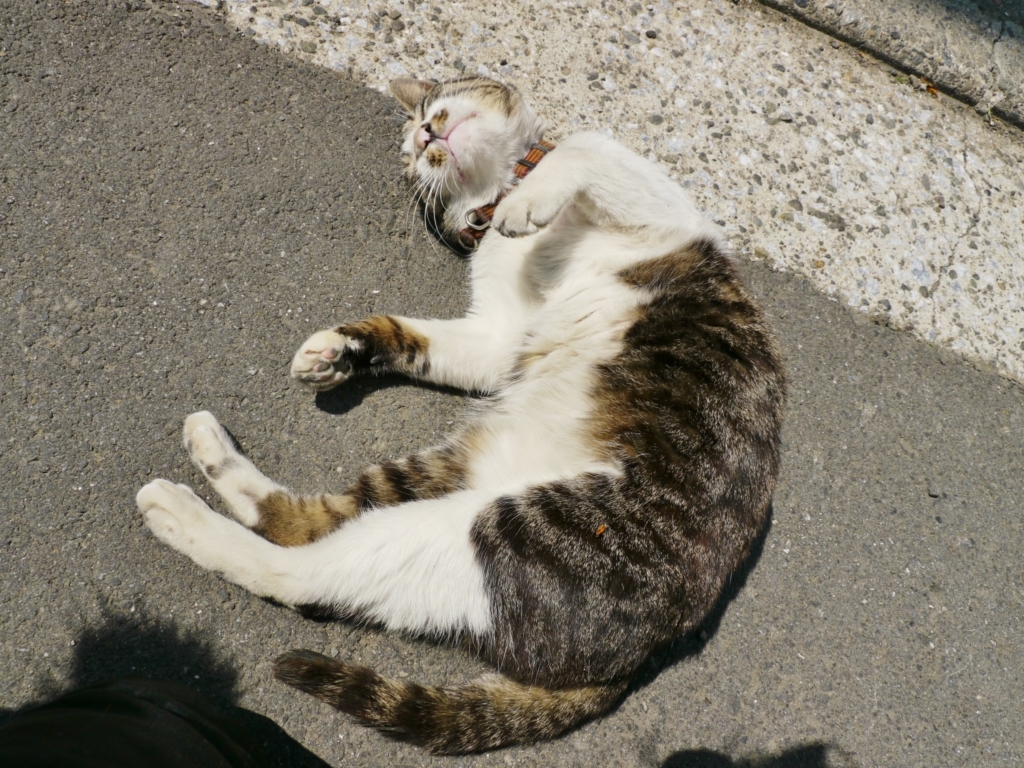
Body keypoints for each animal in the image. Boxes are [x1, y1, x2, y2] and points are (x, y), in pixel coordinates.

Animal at [136, 75, 786, 753]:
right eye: (411, 153)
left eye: (431, 105)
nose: (426, 133)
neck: (501, 187)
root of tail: (642, 654)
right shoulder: (498, 335)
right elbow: (412, 333)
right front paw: (340, 348)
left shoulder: (656, 210)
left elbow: (584, 152)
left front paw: (528, 203)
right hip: (472, 498)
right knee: (305, 547)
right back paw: (199, 471)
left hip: (489, 518)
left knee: (305, 554)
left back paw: (188, 494)